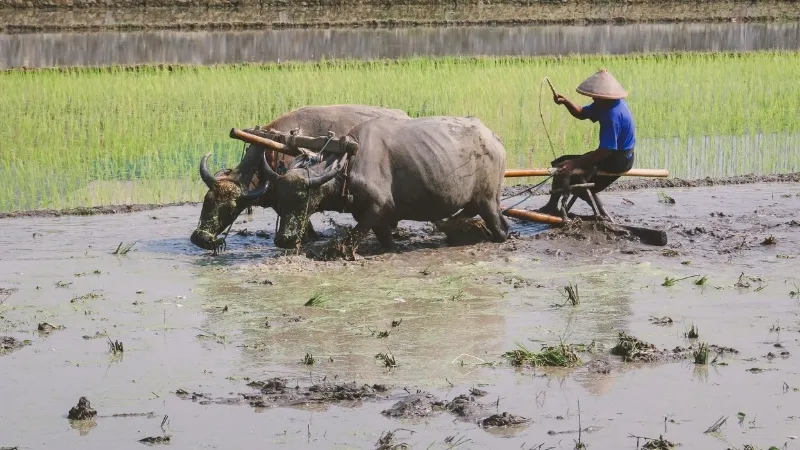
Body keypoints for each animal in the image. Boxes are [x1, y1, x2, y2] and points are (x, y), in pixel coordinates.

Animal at [260, 114, 510, 258]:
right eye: (278, 201)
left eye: (302, 197)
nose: (284, 239)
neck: (349, 162)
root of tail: (495, 139)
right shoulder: (369, 212)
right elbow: (383, 238)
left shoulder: (379, 205)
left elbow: (352, 236)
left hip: (488, 199)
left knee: (501, 227)